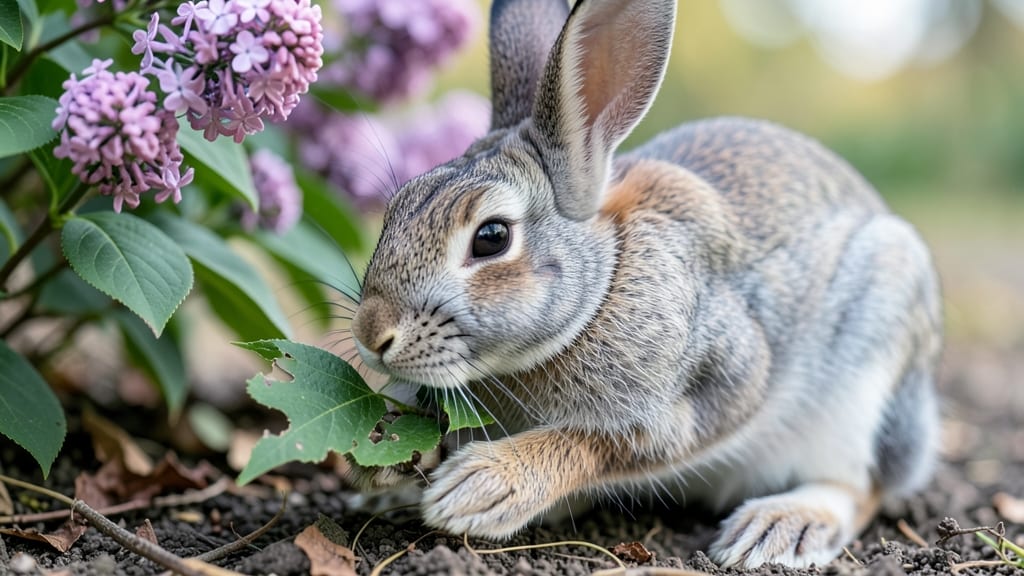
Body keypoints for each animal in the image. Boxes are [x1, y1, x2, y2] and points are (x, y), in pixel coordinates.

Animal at [349, 0, 942, 568]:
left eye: (492, 238)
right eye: (396, 208)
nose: (371, 335)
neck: (603, 284)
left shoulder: (711, 385)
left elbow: (597, 443)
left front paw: (482, 486)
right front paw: (385, 462)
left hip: (869, 369)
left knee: (860, 486)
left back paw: (781, 527)